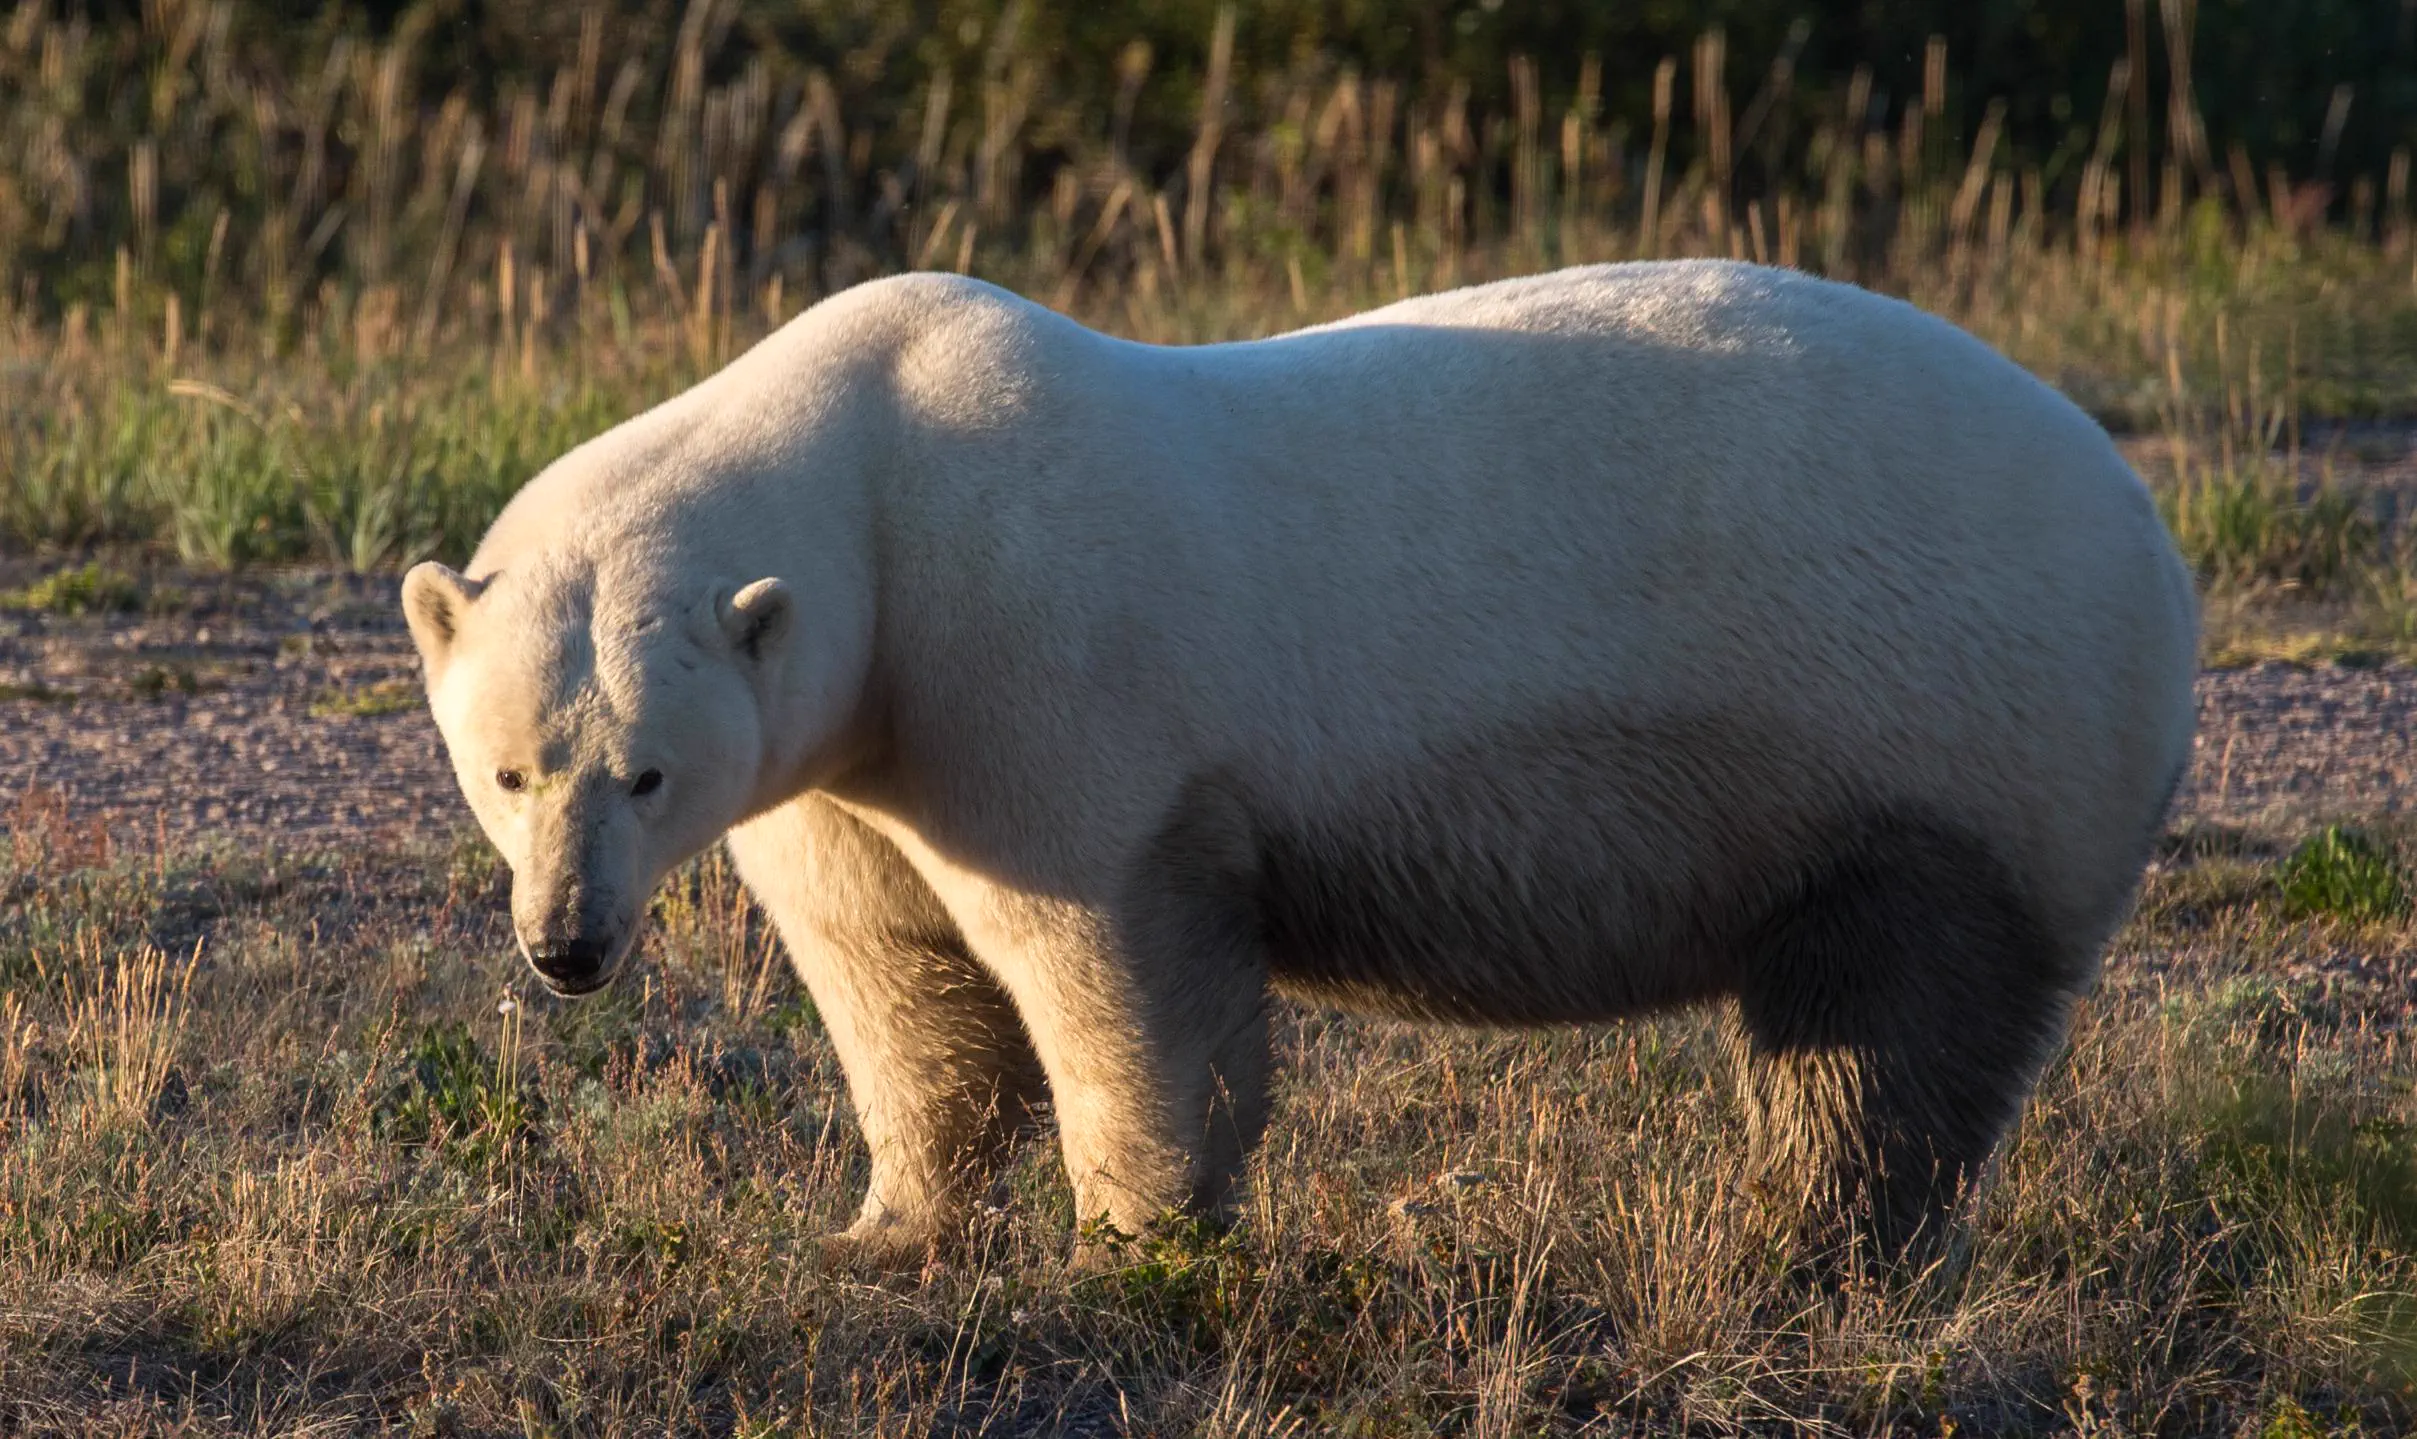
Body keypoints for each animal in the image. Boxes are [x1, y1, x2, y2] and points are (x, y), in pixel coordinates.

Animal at [401, 260, 2199, 1263]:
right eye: (507, 770)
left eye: (640, 771)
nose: (566, 947)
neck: (880, 480)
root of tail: (2153, 540)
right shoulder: (851, 748)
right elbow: (895, 976)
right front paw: (881, 1234)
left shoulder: (1036, 668)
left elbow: (1114, 965)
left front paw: (1129, 1242)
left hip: (1947, 729)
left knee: (1886, 1021)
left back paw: (1808, 1246)